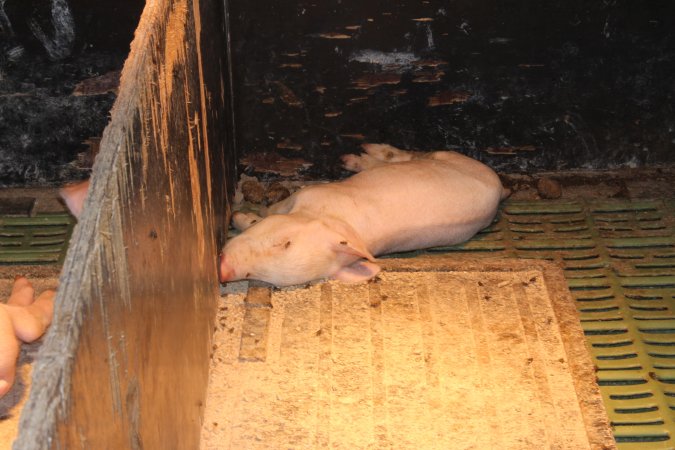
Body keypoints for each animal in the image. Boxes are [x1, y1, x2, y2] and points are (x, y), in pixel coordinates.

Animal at [219, 142, 510, 286]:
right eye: (285, 243)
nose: (223, 272)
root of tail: (501, 190)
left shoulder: (313, 194)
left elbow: (268, 210)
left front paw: (239, 217)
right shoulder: (310, 194)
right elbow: (274, 210)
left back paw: (354, 157)